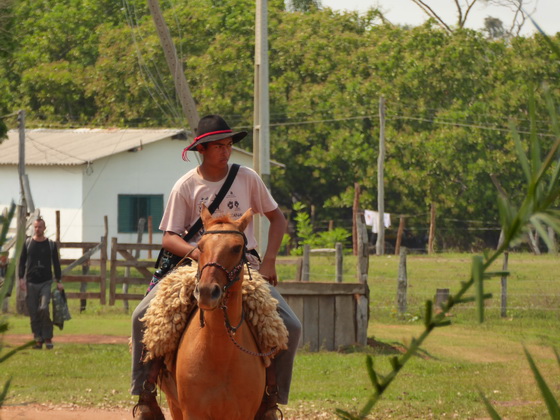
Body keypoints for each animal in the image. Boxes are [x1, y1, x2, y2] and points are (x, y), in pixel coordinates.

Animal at [163, 207, 266, 420]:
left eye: (237, 248)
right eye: (200, 246)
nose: (206, 292)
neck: (220, 355)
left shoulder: (244, 413)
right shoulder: (192, 412)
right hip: (174, 405)